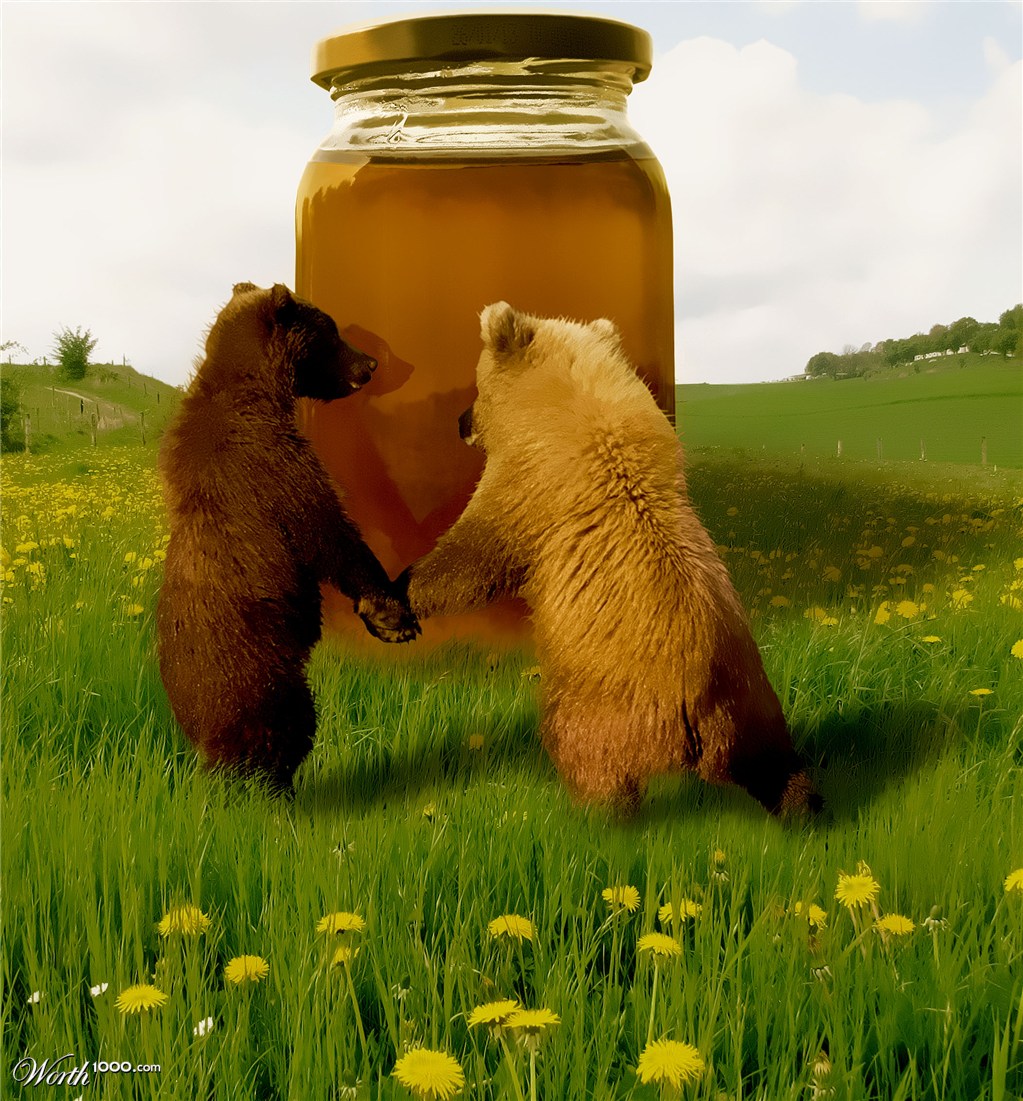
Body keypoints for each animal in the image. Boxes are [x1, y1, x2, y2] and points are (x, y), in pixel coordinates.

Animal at [157, 282, 419, 790]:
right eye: (332, 330)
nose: (370, 365)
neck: (259, 389)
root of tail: (198, 737)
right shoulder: (268, 460)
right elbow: (324, 528)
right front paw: (389, 613)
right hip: (260, 673)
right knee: (284, 728)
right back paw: (274, 786)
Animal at [399, 302, 819, 817]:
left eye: (476, 385)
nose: (460, 421)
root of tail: (699, 711)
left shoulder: (531, 489)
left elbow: (474, 556)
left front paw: (401, 591)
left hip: (603, 708)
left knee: (590, 759)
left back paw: (594, 814)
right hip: (756, 703)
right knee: (779, 767)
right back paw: (805, 807)